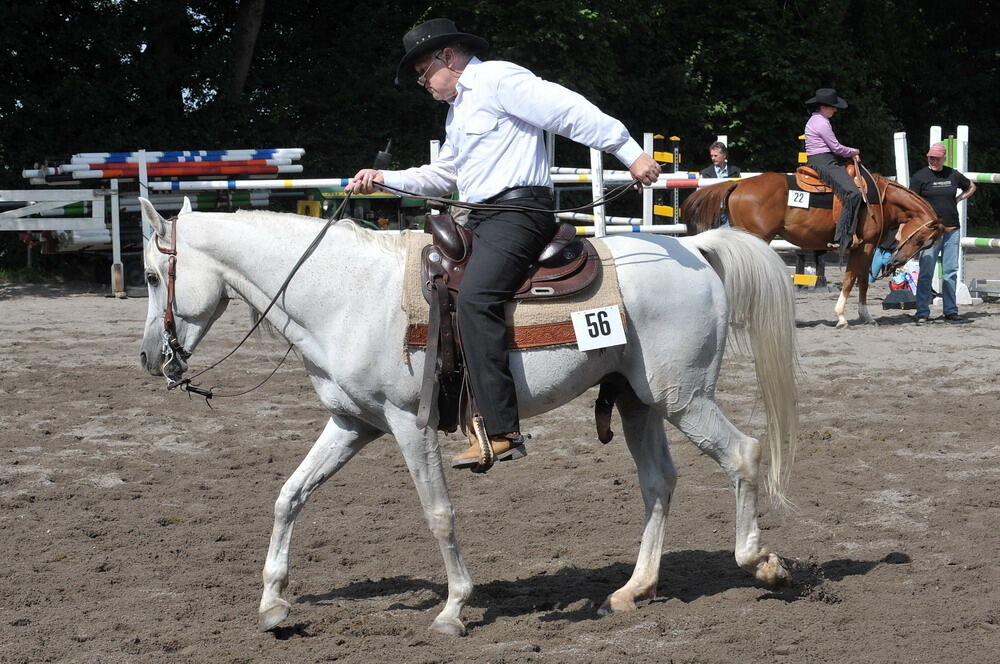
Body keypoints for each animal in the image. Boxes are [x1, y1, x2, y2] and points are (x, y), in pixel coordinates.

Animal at [139, 198, 796, 640]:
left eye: (149, 275)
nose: (149, 358)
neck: (346, 293)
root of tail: (695, 249)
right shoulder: (352, 424)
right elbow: (289, 495)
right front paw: (274, 606)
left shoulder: (409, 425)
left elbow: (439, 514)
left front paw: (453, 609)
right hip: (640, 401)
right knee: (659, 480)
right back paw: (634, 589)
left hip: (683, 396)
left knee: (744, 454)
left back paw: (760, 563)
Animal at [684, 171, 940, 326]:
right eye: (921, 240)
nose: (896, 263)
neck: (878, 201)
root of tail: (738, 183)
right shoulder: (864, 246)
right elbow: (852, 279)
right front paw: (843, 316)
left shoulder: (862, 248)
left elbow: (860, 280)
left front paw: (864, 315)